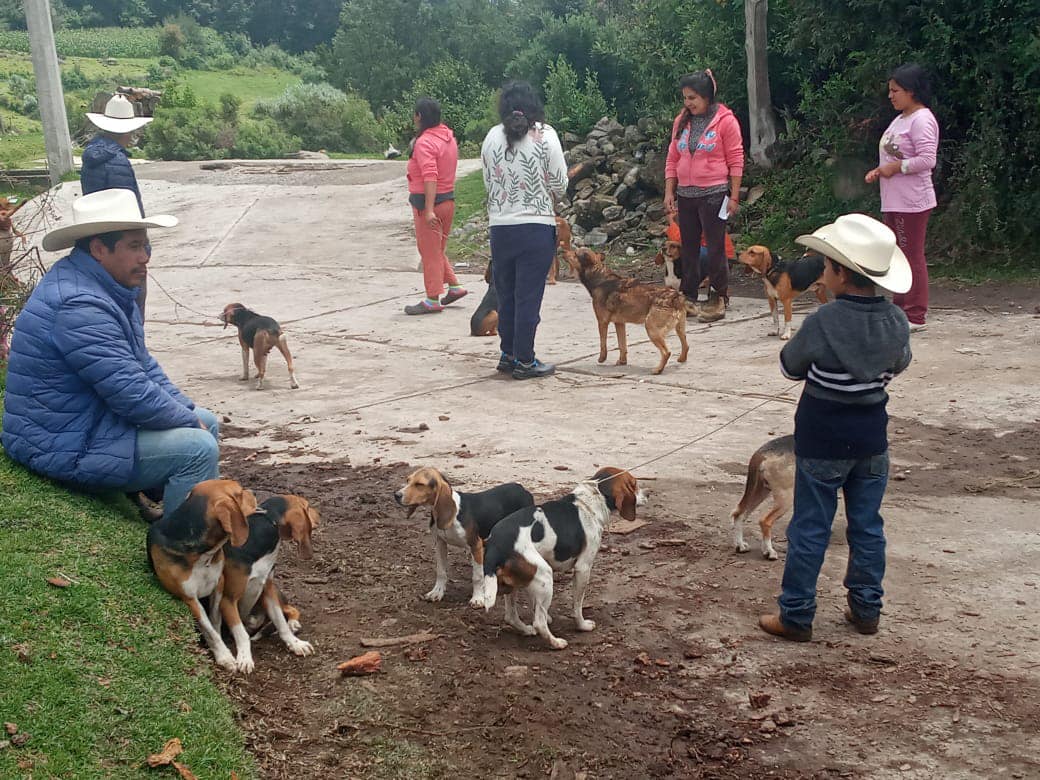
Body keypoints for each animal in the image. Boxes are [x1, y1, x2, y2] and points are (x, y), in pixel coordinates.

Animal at [146, 482, 257, 673]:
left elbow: (215, 622)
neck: (202, 557)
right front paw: (224, 656)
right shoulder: (190, 599)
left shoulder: (218, 585)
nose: (254, 492)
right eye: (240, 493)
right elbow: (209, 629)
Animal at [209, 495, 318, 673]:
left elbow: (281, 622)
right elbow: (242, 634)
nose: (320, 514)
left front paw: (296, 644)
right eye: (307, 507)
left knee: (290, 609)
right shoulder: (228, 600)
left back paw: (293, 623)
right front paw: (245, 658)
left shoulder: (268, 592)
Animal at [391, 467, 532, 607]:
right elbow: (441, 571)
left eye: (419, 484)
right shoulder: (440, 543)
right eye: (408, 480)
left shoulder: (476, 545)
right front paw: (437, 592)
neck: (454, 514)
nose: (396, 495)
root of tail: (522, 489)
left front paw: (477, 598)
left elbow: (477, 577)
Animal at [480, 467, 644, 648]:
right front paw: (582, 625)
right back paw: (556, 643)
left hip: (518, 582)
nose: (647, 495)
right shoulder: (583, 569)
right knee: (539, 622)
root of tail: (495, 544)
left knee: (511, 616)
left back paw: (527, 630)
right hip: (545, 575)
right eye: (635, 484)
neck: (590, 502)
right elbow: (577, 605)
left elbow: (534, 603)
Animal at [569, 247, 690, 376]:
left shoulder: (602, 322)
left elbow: (603, 344)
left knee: (666, 352)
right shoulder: (620, 324)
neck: (599, 277)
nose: (563, 250)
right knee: (686, 345)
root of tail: (675, 296)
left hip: (651, 328)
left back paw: (658, 370)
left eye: (575, 253)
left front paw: (602, 359)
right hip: (679, 328)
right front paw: (622, 361)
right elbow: (622, 345)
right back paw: (681, 359)